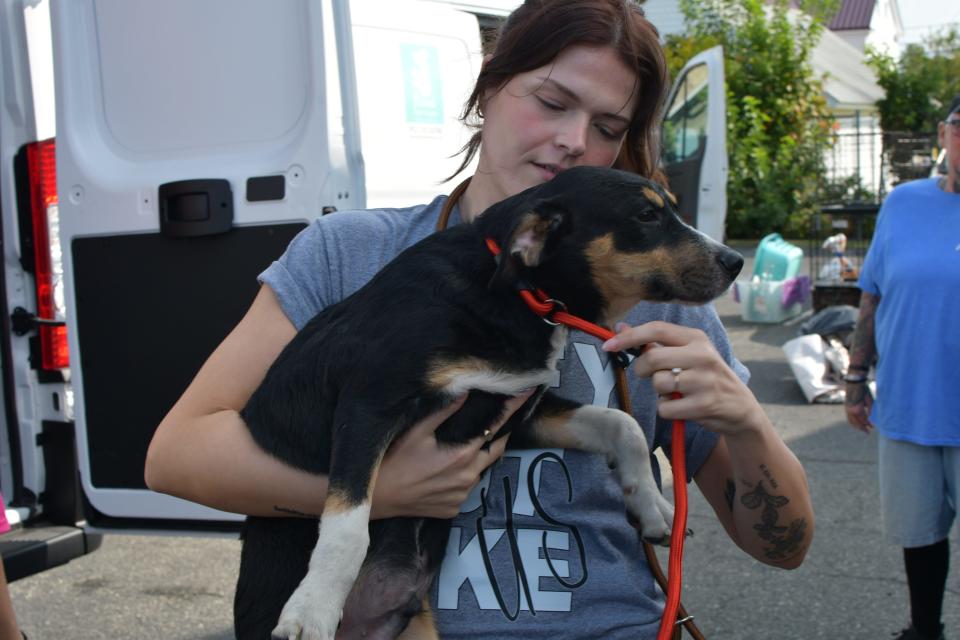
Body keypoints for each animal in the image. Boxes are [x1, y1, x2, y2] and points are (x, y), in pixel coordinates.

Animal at [234, 166, 744, 640]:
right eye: (646, 216)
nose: (736, 261)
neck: (516, 296)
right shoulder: (369, 405)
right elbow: (347, 527)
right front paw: (312, 608)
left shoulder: (514, 411)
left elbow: (623, 425)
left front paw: (653, 506)